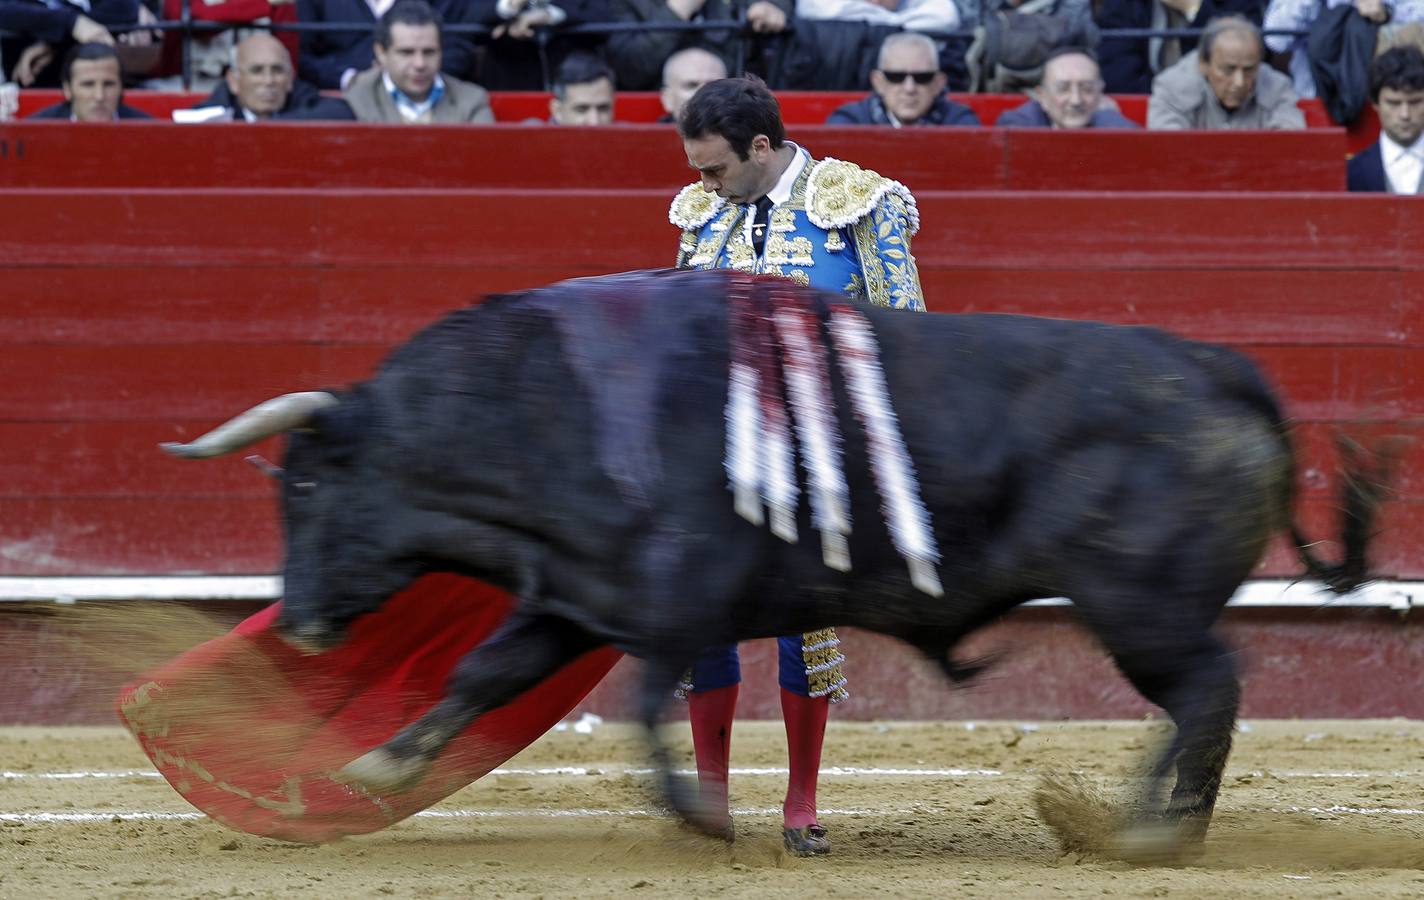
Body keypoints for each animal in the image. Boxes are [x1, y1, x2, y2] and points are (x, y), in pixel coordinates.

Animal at [161, 270, 1384, 860]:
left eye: (304, 488)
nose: (299, 621)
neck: (545, 407)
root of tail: (1222, 369)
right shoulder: (575, 597)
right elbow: (483, 674)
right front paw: (377, 769)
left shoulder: (670, 599)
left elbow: (644, 706)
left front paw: (701, 820)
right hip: (1146, 613)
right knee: (1204, 705)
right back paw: (1156, 831)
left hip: (1142, 607)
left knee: (1208, 694)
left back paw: (1144, 833)